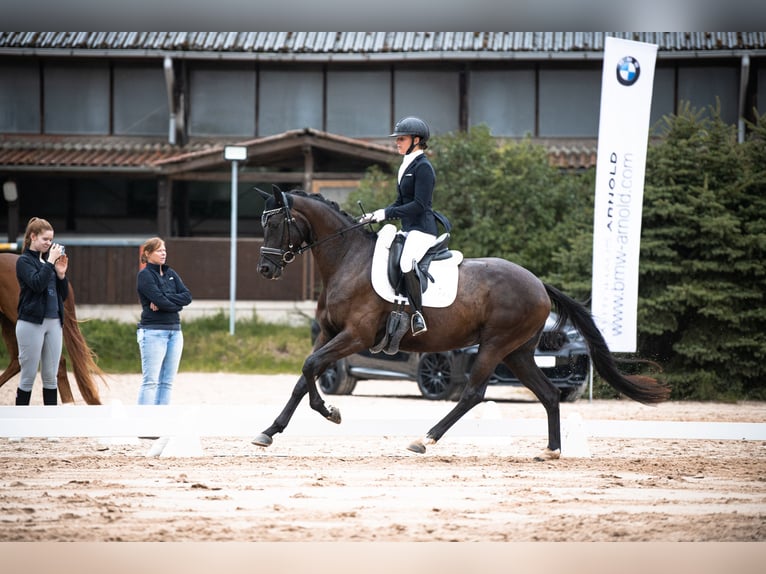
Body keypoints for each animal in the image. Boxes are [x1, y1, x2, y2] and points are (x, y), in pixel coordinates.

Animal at [255, 191, 668, 462]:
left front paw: (329, 411)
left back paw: (425, 439)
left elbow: (310, 368)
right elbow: (303, 376)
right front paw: (271, 431)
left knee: (472, 393)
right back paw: (551, 450)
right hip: (518, 353)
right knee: (549, 393)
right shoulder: (329, 334)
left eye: (276, 223)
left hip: (494, 345)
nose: (265, 269)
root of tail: (538, 284)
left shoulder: (354, 336)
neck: (347, 261)